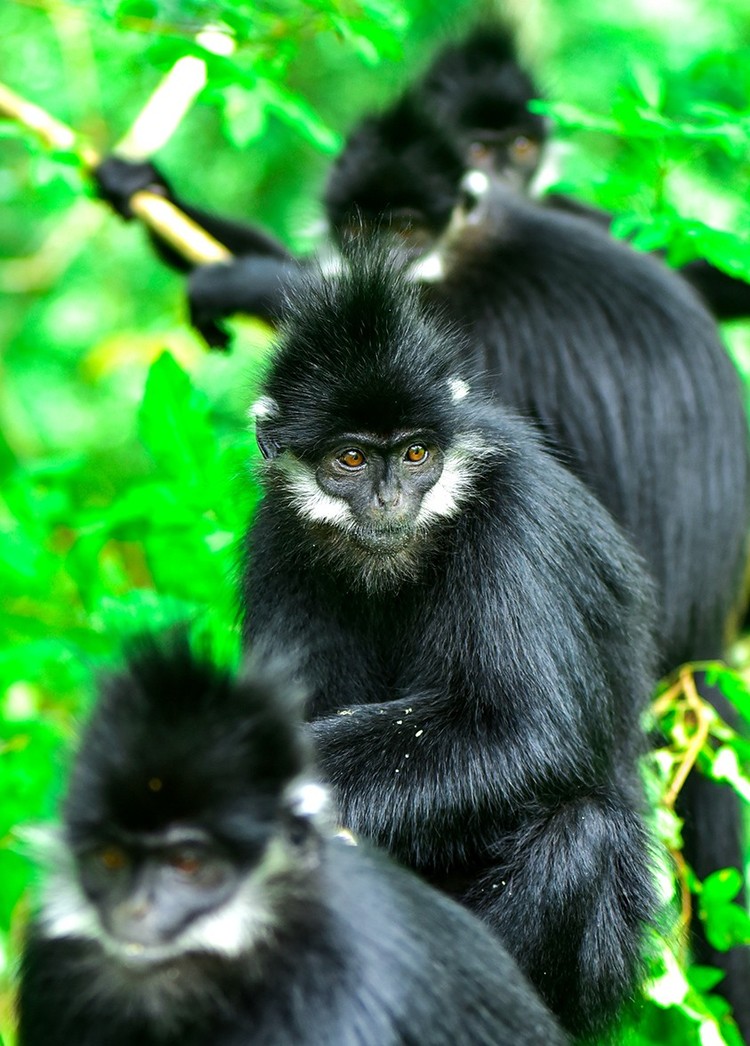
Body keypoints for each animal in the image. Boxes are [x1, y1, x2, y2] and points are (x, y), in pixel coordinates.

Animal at [242, 248, 656, 1033]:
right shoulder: (277, 535)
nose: (389, 500)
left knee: (581, 833)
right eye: (350, 461)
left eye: (414, 454)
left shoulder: (512, 509)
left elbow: (529, 737)